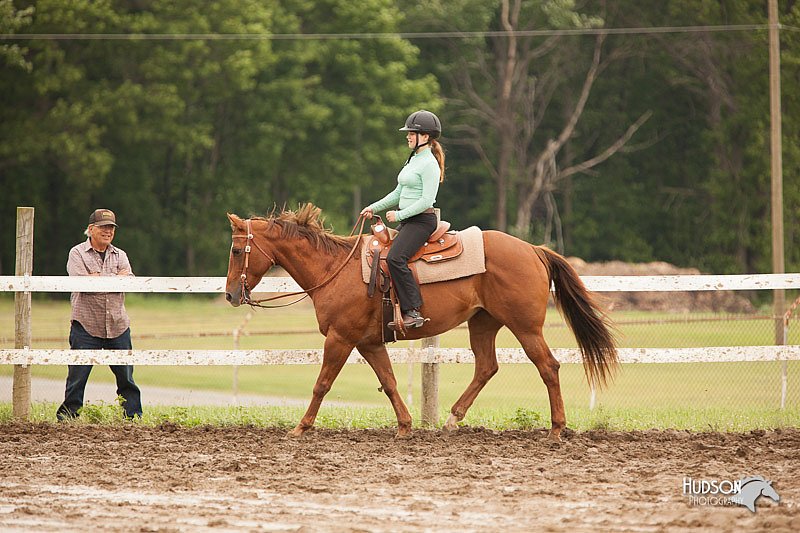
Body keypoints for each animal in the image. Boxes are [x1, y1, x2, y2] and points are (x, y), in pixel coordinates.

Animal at [225, 204, 620, 440]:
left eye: (236, 250)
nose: (230, 295)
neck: (336, 269)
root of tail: (534, 250)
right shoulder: (369, 342)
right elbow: (389, 382)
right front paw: (404, 426)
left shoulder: (340, 338)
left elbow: (322, 384)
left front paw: (300, 428)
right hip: (484, 323)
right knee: (486, 367)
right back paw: (451, 421)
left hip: (525, 327)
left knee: (548, 367)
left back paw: (556, 430)